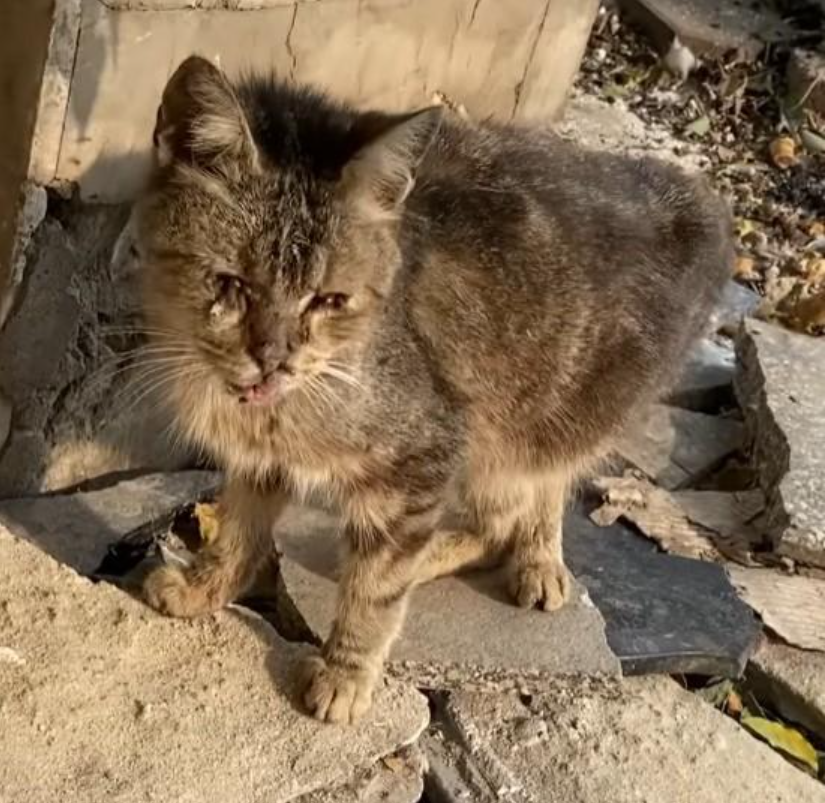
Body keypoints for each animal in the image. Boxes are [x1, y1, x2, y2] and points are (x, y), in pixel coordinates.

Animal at [135, 55, 732, 724]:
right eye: (231, 283)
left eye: (329, 300)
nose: (273, 361)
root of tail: (702, 203)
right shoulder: (262, 461)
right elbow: (239, 530)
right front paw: (204, 586)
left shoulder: (421, 460)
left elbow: (377, 587)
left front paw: (346, 674)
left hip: (526, 428)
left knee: (521, 502)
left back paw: (520, 558)